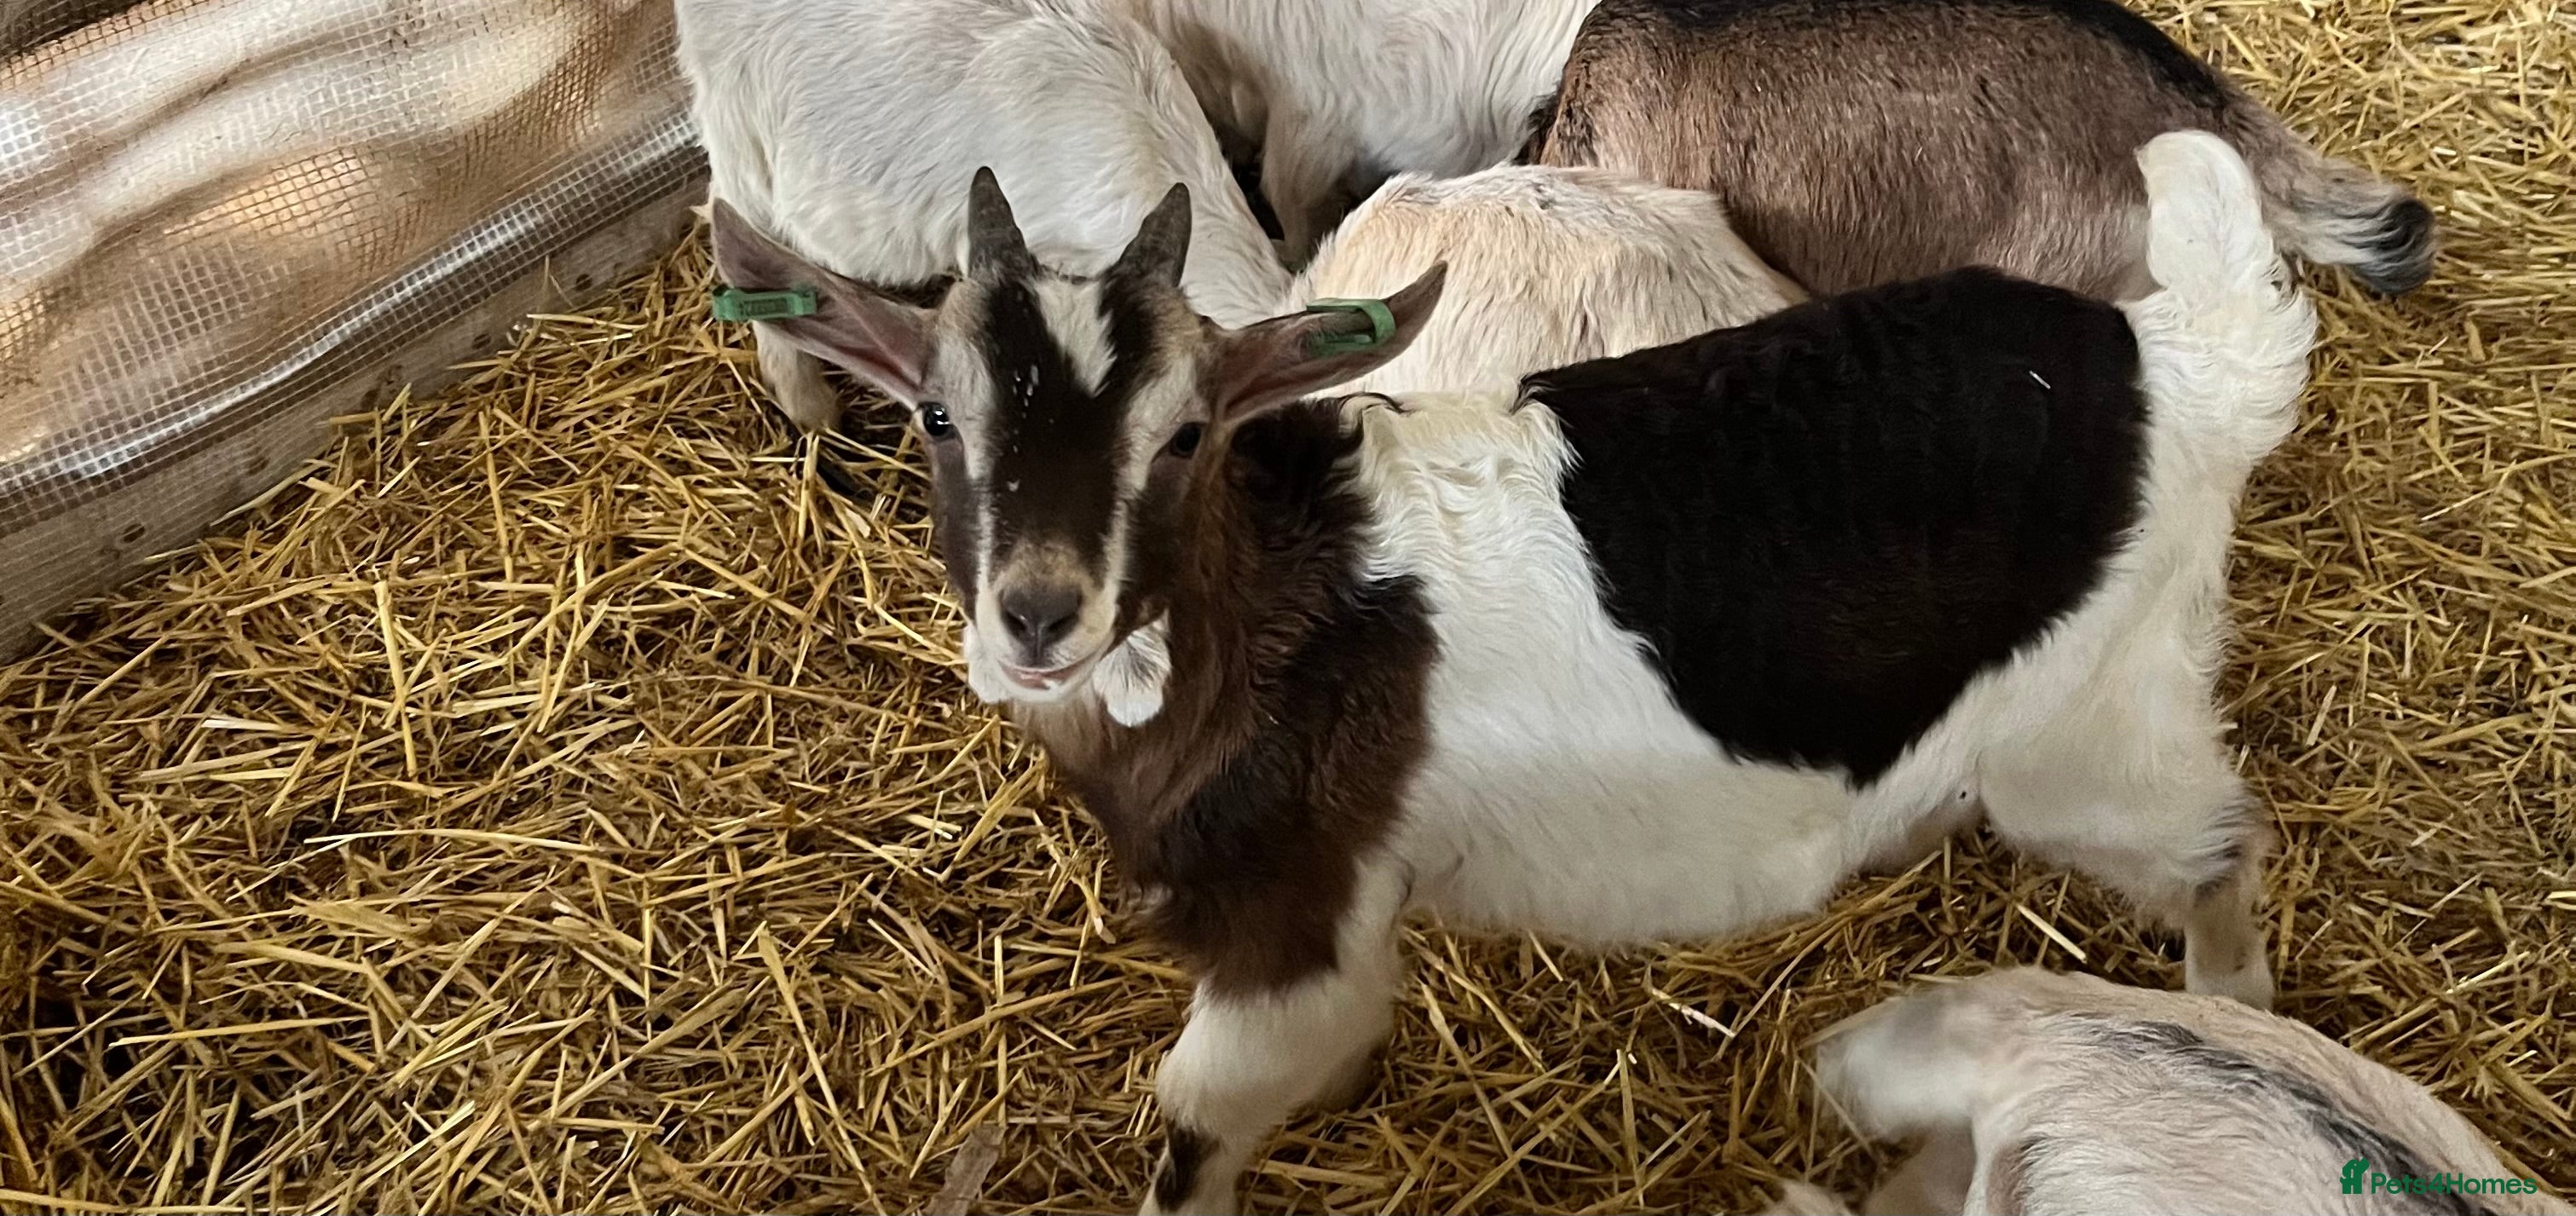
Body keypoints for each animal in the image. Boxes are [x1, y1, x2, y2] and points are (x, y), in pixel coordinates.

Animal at [705, 129, 2313, 1213]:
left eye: (1184, 434)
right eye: (937, 417)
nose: (1039, 611)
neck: (1279, 601)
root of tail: (2184, 364)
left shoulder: (1295, 929)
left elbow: (1197, 1111)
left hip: (2088, 739)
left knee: (2218, 840)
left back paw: (2230, 1001)